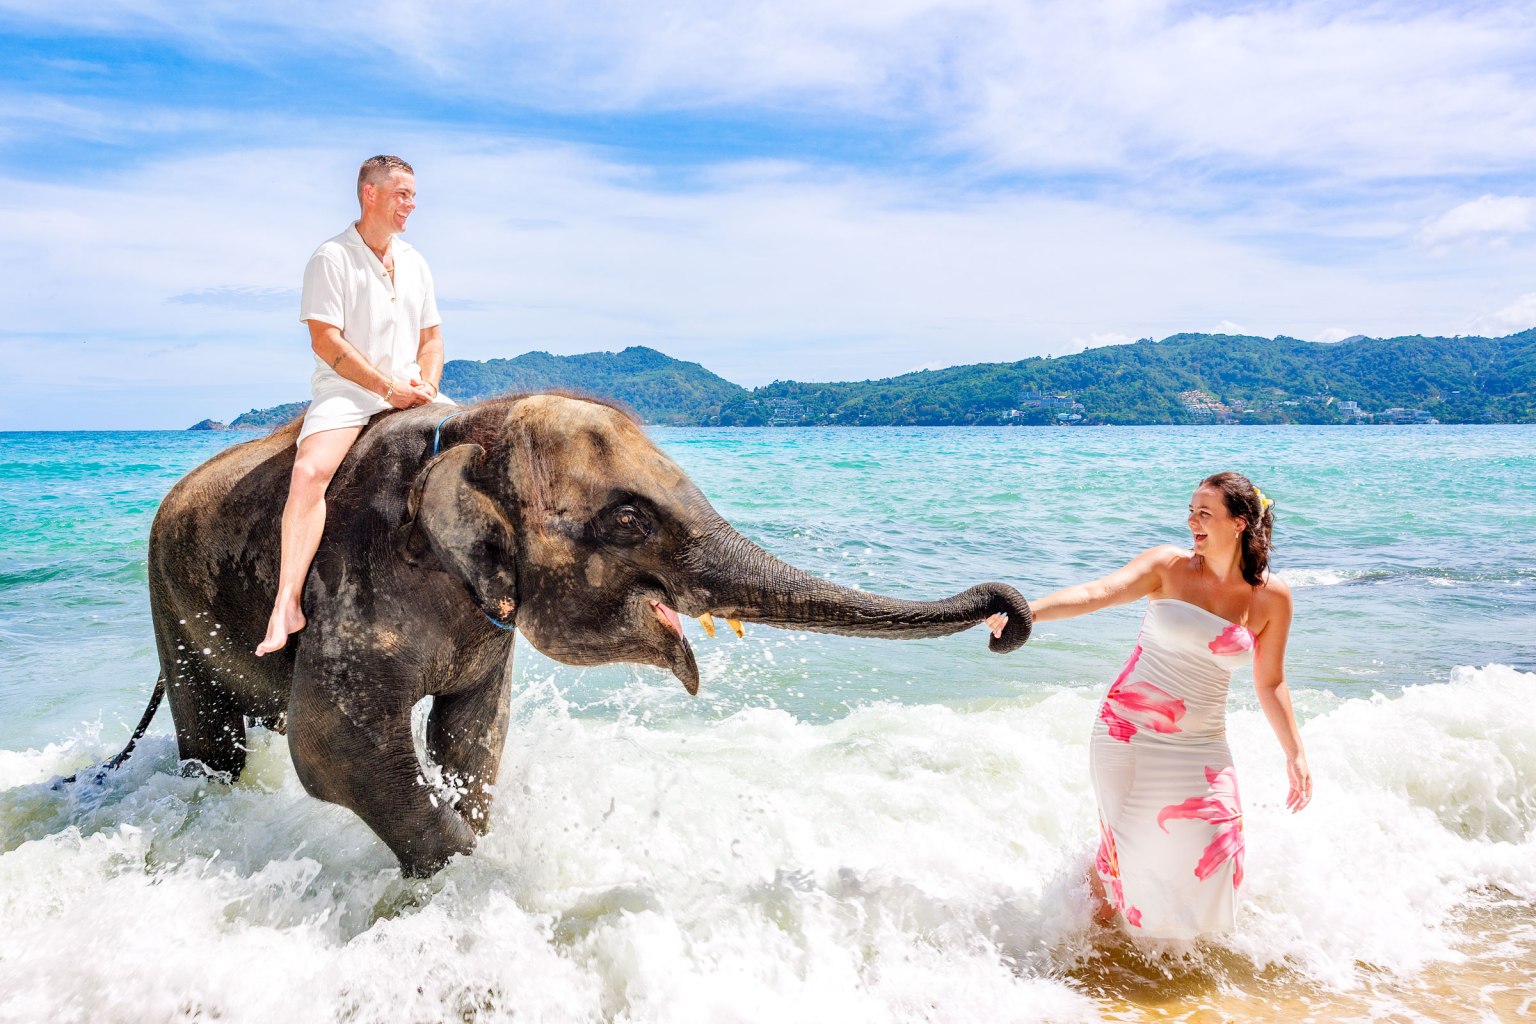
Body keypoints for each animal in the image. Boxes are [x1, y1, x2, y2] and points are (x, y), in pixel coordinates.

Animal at [99, 393, 1032, 876]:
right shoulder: (351, 575)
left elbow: (473, 735)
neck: (470, 430)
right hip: (168, 600)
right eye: (626, 519)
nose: (1005, 616)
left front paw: (480, 840)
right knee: (216, 744)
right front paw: (476, 877)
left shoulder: (485, 629)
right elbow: (333, 744)